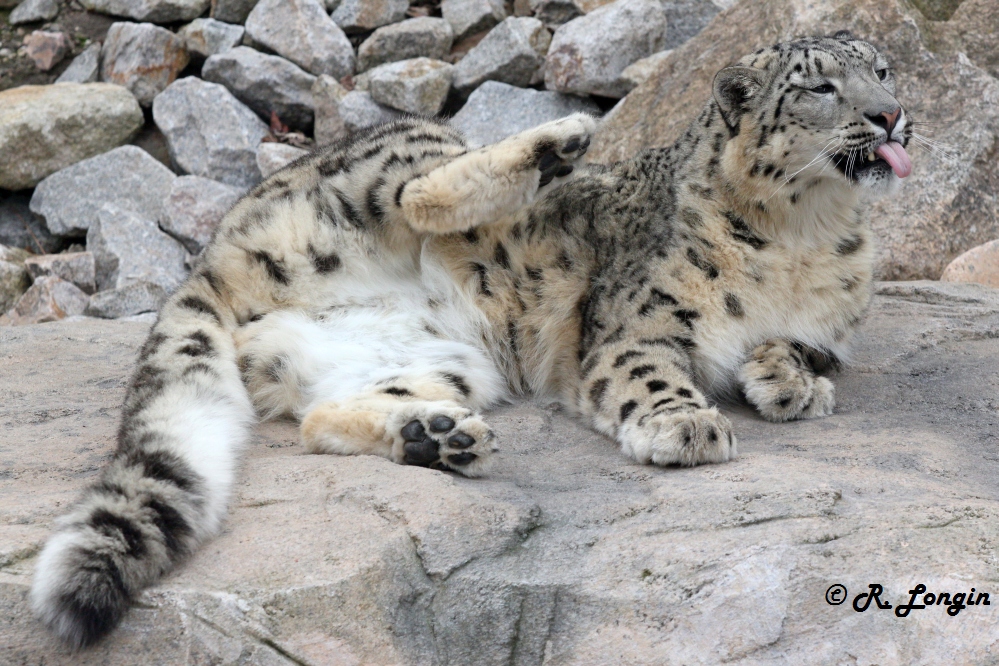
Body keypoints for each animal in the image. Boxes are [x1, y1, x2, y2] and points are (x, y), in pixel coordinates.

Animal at [31, 33, 916, 644]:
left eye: (883, 70)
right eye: (820, 86)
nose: (890, 114)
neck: (806, 233)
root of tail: (212, 262)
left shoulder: (832, 322)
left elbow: (807, 348)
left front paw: (789, 381)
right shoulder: (636, 323)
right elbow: (648, 372)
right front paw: (687, 425)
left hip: (440, 360)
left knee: (321, 419)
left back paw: (435, 436)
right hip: (385, 163)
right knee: (418, 191)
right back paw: (557, 140)